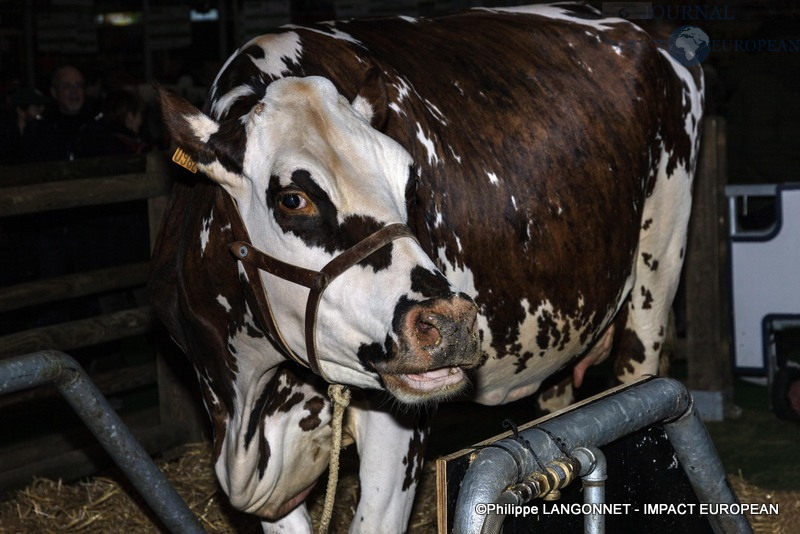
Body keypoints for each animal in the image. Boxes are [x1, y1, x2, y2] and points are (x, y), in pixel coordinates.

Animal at [148, 3, 700, 532]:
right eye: (292, 198)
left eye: (411, 182)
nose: (450, 323)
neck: (248, 404)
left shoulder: (398, 425)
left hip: (661, 259)